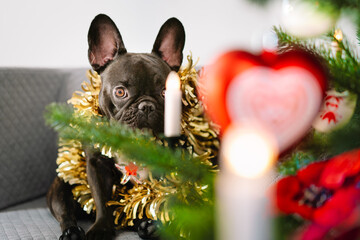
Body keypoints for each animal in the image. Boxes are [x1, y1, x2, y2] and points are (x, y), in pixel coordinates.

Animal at [46, 14, 184, 239]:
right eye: (120, 92)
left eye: (165, 92)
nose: (146, 106)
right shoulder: (96, 165)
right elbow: (102, 201)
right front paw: (101, 228)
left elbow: (161, 198)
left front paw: (156, 224)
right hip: (61, 187)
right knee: (64, 212)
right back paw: (71, 231)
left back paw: (144, 225)